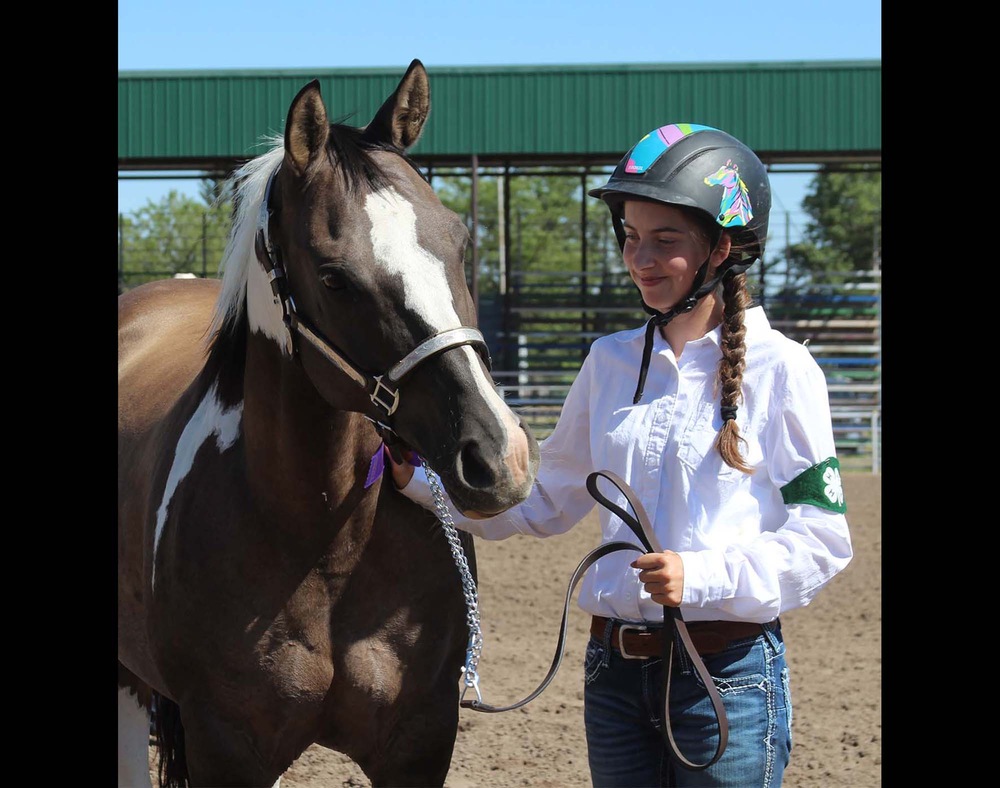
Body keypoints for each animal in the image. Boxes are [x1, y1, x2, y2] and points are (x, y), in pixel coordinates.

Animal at [118, 61, 544, 788]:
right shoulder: (223, 748)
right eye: (334, 277)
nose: (498, 457)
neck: (324, 535)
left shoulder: (418, 740)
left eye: (460, 242)